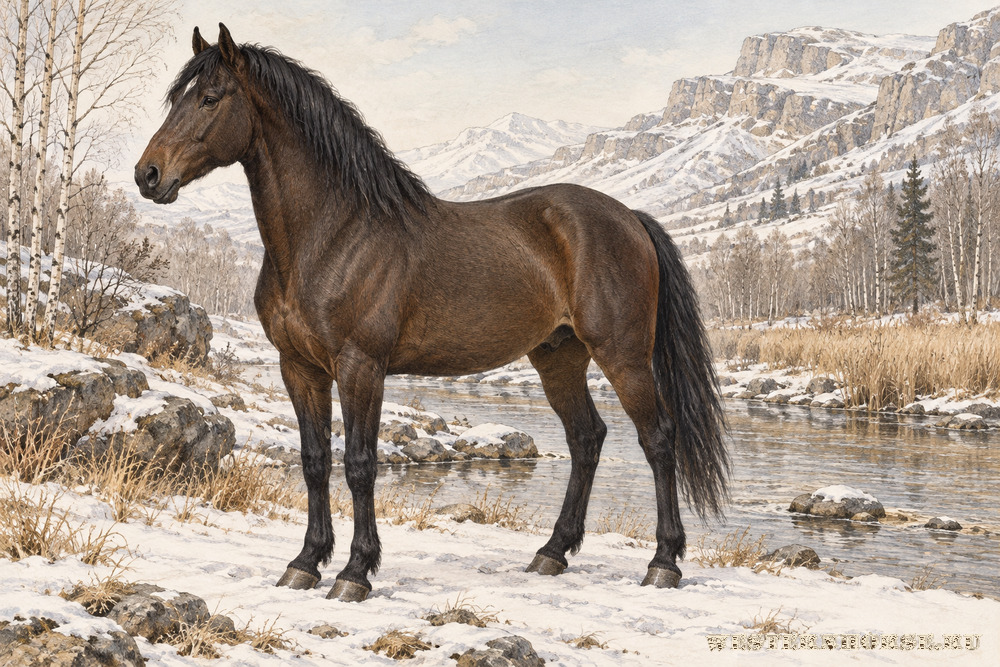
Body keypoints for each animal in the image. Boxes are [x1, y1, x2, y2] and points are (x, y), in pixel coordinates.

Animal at [135, 24, 729, 602]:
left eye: (210, 98)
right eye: (177, 97)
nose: (148, 174)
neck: (332, 235)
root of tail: (628, 216)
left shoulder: (360, 367)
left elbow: (359, 465)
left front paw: (355, 572)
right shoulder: (298, 368)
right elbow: (314, 461)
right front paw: (305, 562)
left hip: (622, 355)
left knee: (659, 439)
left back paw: (663, 563)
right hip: (558, 357)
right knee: (586, 439)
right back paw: (552, 553)